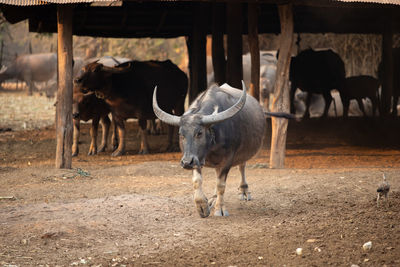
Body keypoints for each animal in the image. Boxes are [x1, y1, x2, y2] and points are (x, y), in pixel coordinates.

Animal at [155, 82, 292, 219]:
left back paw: (244, 191)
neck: (210, 147)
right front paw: (202, 206)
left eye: (199, 133)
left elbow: (221, 185)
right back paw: (213, 198)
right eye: (181, 134)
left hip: (242, 154)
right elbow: (197, 181)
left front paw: (220, 209)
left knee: (241, 166)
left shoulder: (227, 159)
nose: (187, 162)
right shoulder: (196, 158)